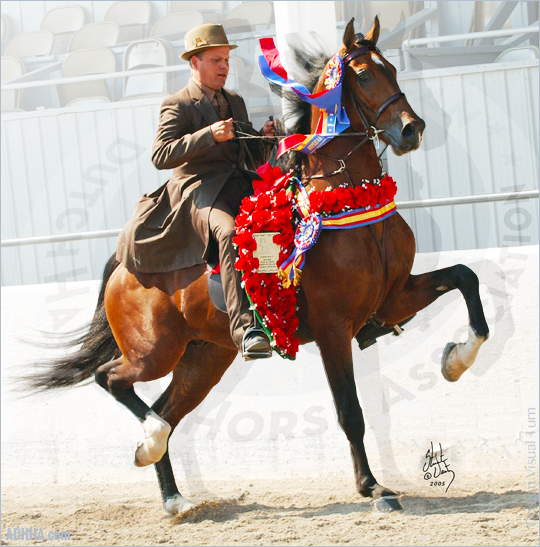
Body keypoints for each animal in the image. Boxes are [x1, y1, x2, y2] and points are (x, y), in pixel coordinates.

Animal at [25, 17, 490, 512]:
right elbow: (350, 412)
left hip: (204, 359)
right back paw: (149, 442)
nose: (411, 130)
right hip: (153, 352)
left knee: (167, 410)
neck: (348, 199)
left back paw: (174, 496)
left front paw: (456, 360)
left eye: (394, 69)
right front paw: (373, 488)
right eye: (364, 76)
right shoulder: (333, 328)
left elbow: (467, 280)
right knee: (113, 380)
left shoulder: (392, 299)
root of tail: (124, 266)